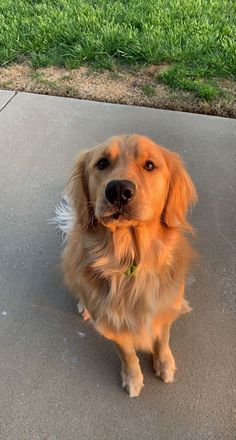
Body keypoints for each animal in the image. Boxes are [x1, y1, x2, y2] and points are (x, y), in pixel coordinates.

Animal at [55, 133, 197, 396]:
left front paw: (164, 364)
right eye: (102, 163)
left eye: (150, 165)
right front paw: (132, 377)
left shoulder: (162, 311)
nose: (119, 190)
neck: (130, 260)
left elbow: (163, 338)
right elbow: (127, 353)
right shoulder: (114, 324)